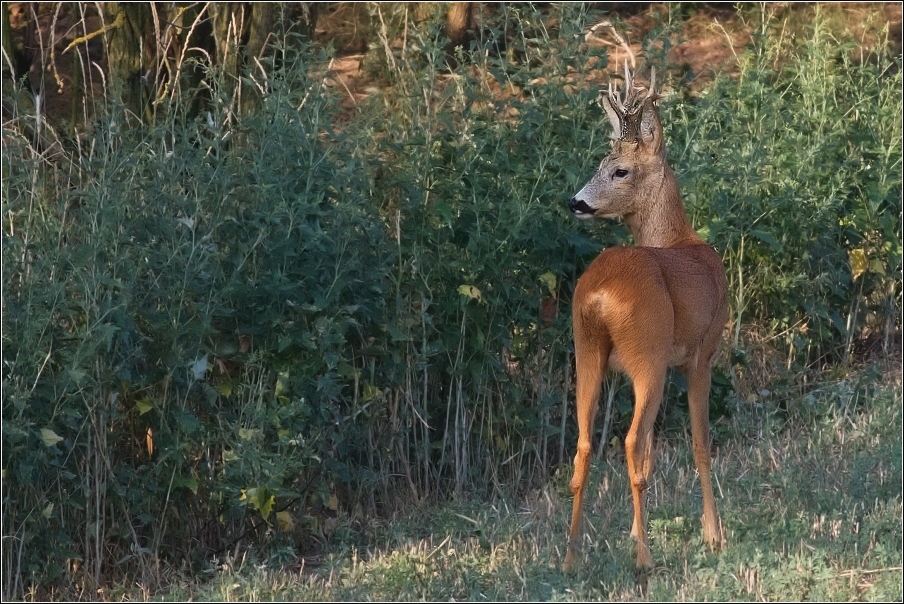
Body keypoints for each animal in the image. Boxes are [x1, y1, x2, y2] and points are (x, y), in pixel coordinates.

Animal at [564, 63, 728, 572]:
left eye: (618, 168)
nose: (575, 202)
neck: (681, 240)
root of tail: (600, 296)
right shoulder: (701, 353)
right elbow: (699, 444)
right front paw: (714, 535)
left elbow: (657, 455)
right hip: (647, 356)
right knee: (631, 442)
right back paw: (643, 557)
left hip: (587, 351)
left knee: (584, 444)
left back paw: (572, 556)